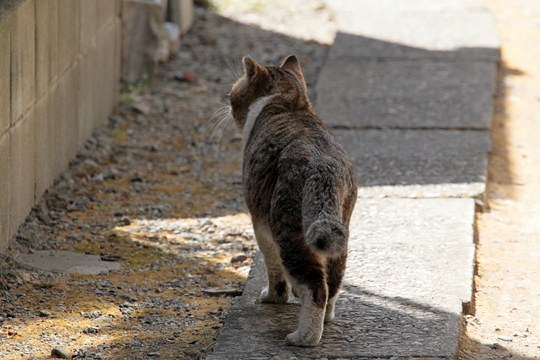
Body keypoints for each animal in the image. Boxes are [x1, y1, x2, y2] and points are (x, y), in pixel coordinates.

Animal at [229, 54, 358, 346]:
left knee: (315, 286)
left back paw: (303, 338)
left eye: (232, 95)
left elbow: (273, 268)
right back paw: (325, 319)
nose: (228, 104)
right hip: (338, 229)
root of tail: (324, 167)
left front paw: (273, 298)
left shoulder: (260, 222)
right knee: (332, 280)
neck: (290, 101)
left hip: (288, 230)